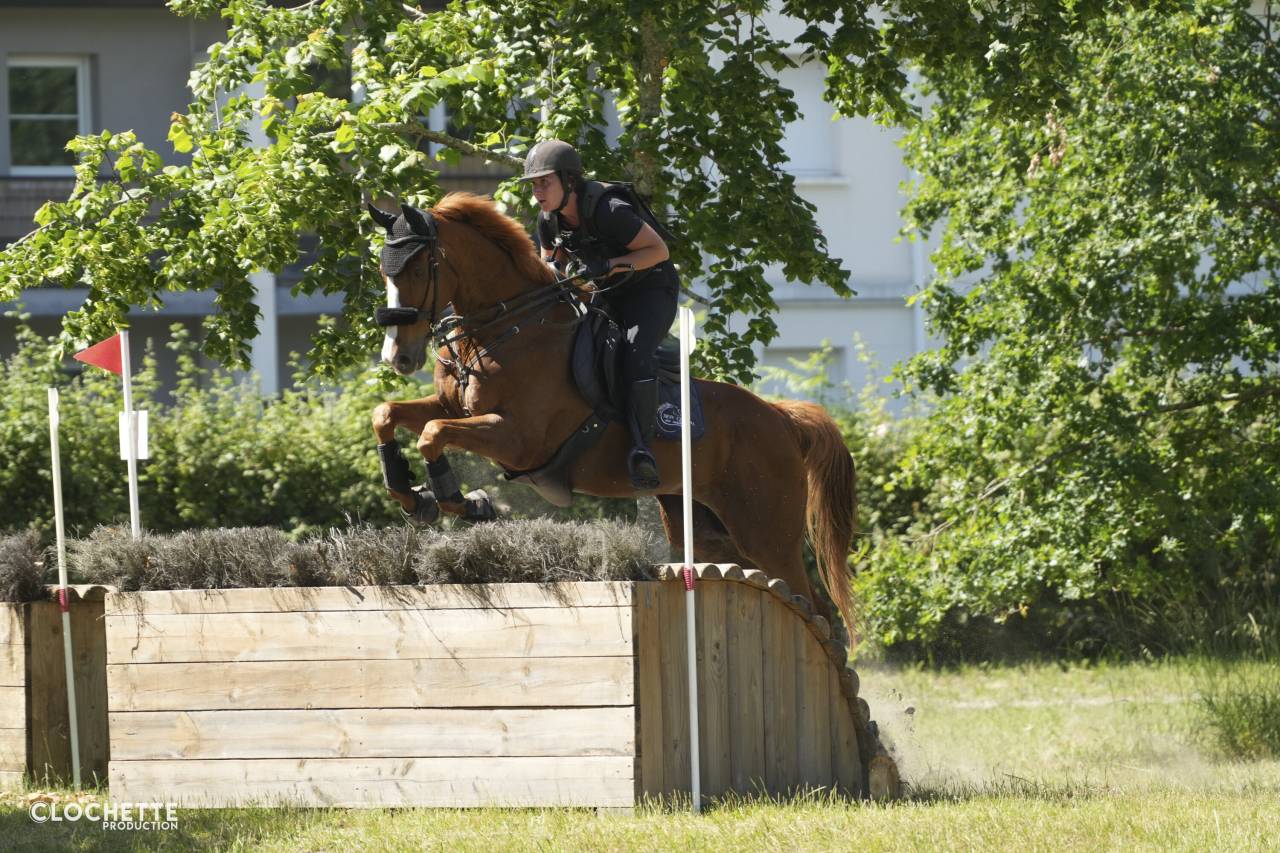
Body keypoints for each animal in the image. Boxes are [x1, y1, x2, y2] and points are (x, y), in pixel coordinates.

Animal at [367, 193, 859, 636]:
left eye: (416, 269)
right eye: (383, 271)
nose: (398, 357)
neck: (505, 329)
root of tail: (781, 418)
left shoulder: (519, 440)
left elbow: (432, 433)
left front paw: (460, 501)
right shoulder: (455, 409)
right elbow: (388, 414)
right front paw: (413, 495)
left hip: (766, 531)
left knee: (815, 606)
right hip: (708, 529)